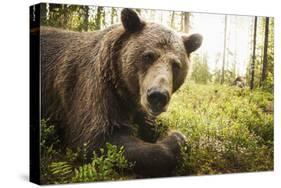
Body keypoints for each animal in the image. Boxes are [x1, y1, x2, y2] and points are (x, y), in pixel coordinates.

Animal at [40, 8, 201, 178]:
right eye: (148, 56)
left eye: (176, 64)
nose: (158, 96)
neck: (125, 88)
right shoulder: (94, 90)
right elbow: (97, 138)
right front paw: (177, 138)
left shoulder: (134, 104)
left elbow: (148, 123)